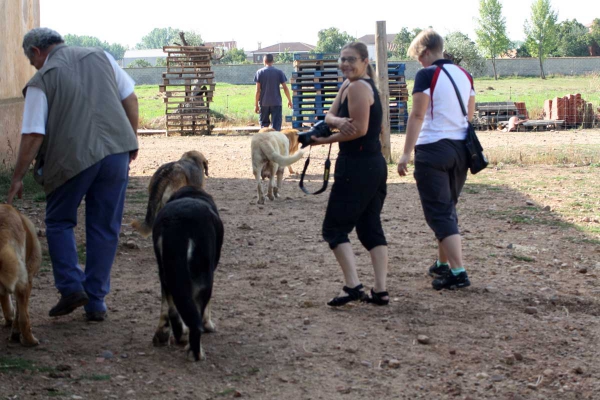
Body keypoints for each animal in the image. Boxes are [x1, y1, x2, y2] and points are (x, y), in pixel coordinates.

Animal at [0, 205, 41, 346]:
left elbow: (5, 301)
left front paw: (8, 320)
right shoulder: (28, 278)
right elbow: (19, 314)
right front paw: (15, 332)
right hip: (24, 282)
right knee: (24, 318)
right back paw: (30, 340)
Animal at [151, 186, 224, 360]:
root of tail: (176, 221)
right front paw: (208, 325)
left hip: (166, 272)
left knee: (170, 306)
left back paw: (168, 335)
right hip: (204, 277)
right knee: (195, 317)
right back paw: (195, 351)